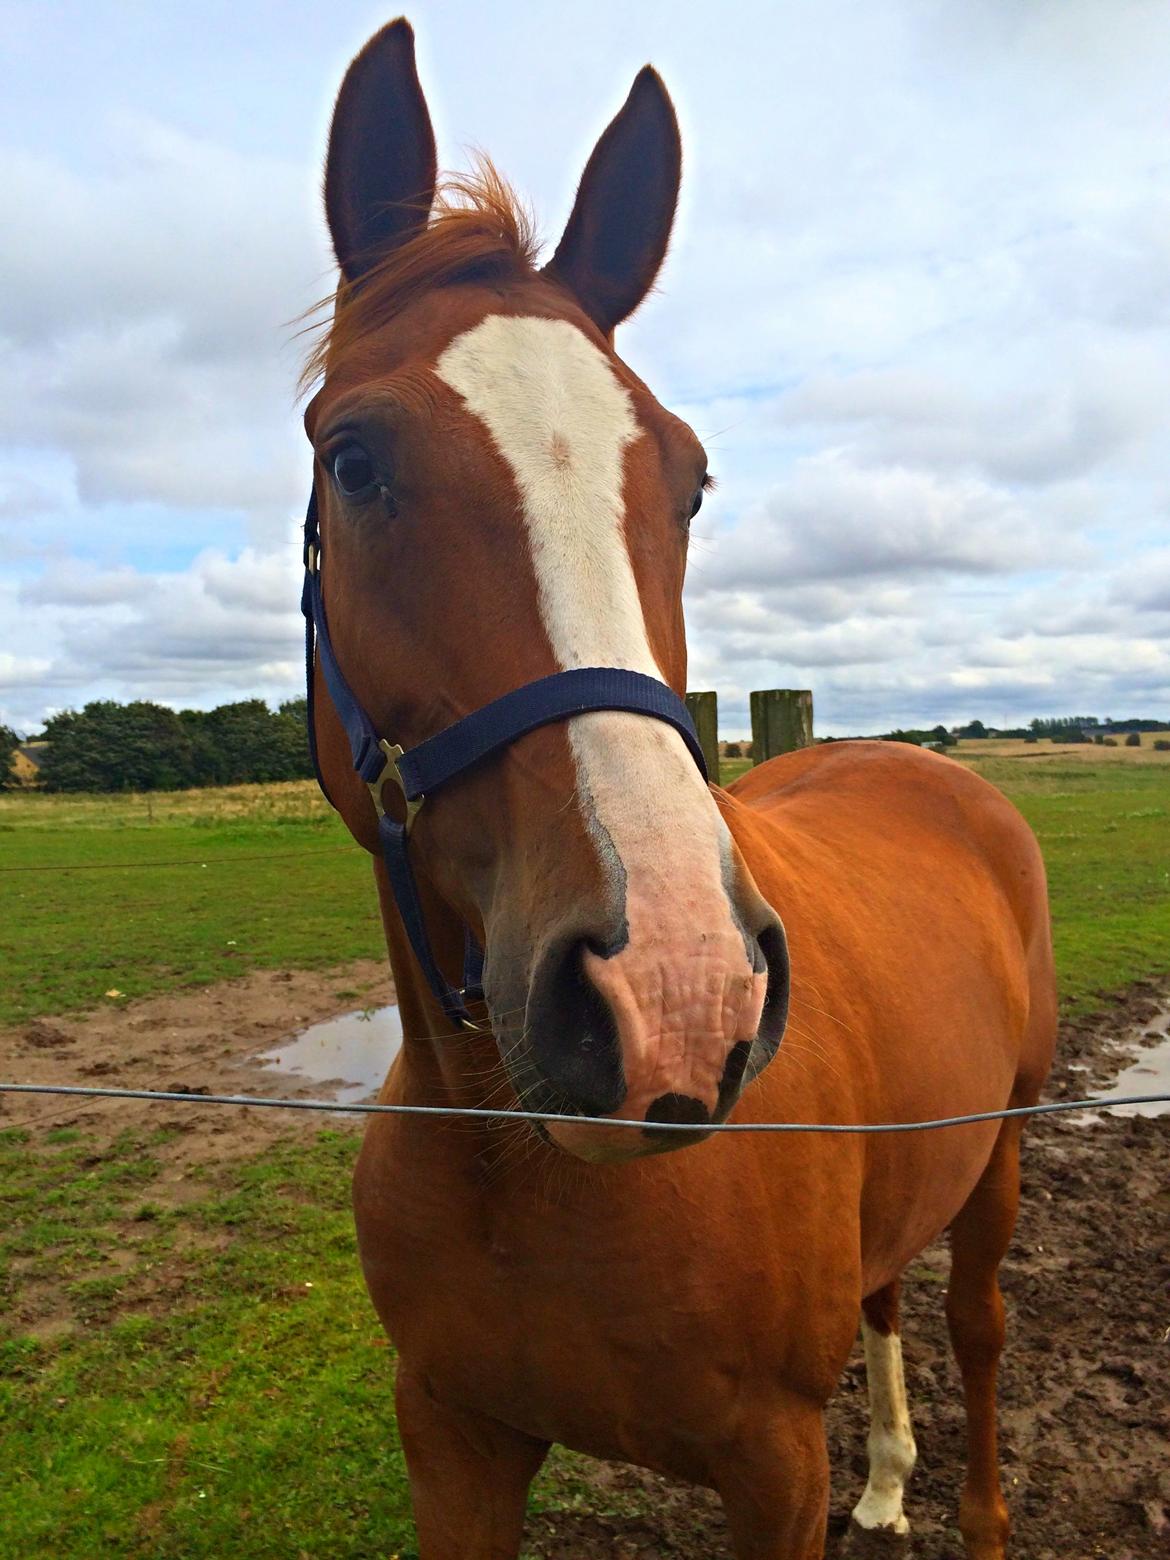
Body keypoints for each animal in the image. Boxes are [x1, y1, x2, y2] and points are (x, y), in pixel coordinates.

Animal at [304, 18, 1060, 1553]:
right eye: (353, 460)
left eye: (693, 481)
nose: (671, 994)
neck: (521, 1167)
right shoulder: (452, 1440)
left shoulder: (770, 1466)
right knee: (888, 1299)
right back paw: (887, 1478)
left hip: (1001, 1154)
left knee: (976, 1326)